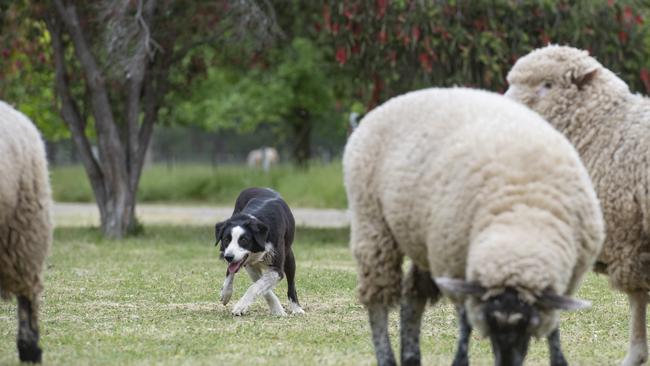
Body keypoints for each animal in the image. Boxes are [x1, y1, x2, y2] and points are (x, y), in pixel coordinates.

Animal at [214, 187, 302, 316]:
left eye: (244, 240)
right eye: (226, 239)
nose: (228, 257)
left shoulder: (277, 269)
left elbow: (255, 286)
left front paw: (240, 306)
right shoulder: (249, 264)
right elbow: (260, 286)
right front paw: (277, 309)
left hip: (289, 255)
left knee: (291, 284)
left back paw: (297, 308)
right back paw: (226, 292)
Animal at [344, 88, 604, 366]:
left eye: (528, 322)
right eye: (490, 322)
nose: (507, 363)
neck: (519, 225)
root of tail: (387, 105)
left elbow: (553, 329)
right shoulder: (458, 267)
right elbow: (465, 324)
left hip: (423, 238)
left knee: (412, 297)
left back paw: (411, 356)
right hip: (373, 226)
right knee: (377, 302)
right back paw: (387, 357)